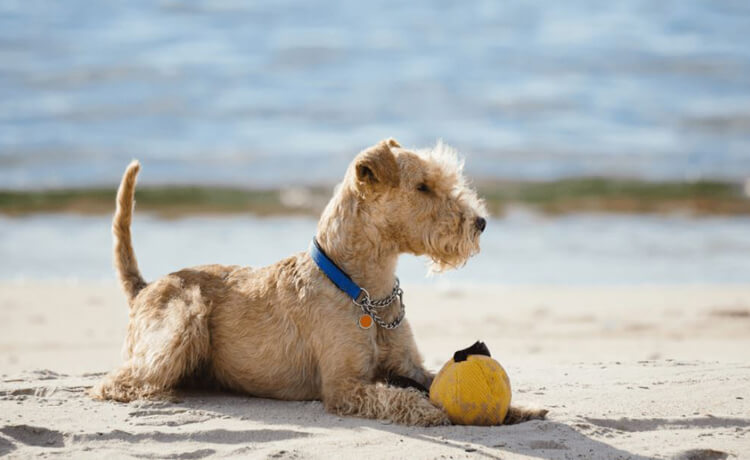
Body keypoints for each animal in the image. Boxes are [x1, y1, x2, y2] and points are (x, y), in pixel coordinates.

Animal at [94, 138, 548, 426]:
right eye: (422, 186)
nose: (480, 222)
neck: (365, 291)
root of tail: (143, 288)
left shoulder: (408, 365)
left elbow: (432, 379)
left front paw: (521, 409)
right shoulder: (344, 386)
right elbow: (398, 396)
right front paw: (429, 412)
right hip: (185, 320)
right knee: (116, 382)